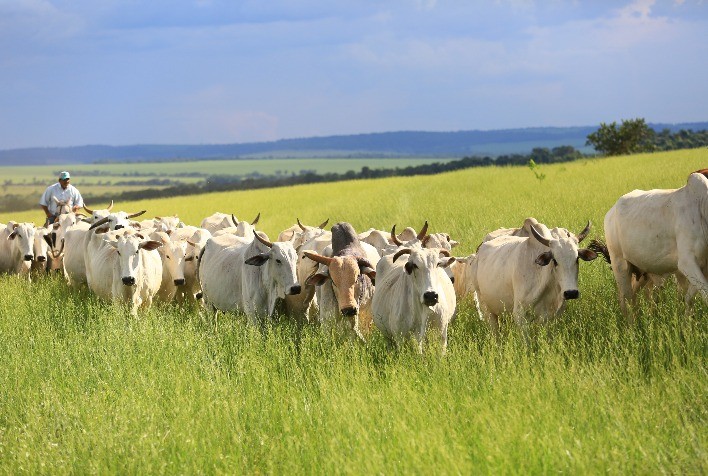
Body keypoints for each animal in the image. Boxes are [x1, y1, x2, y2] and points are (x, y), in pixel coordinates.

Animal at [599, 170, 708, 316]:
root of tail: (610, 212)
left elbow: (689, 297)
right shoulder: (687, 263)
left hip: (641, 272)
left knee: (634, 296)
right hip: (620, 265)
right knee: (626, 300)